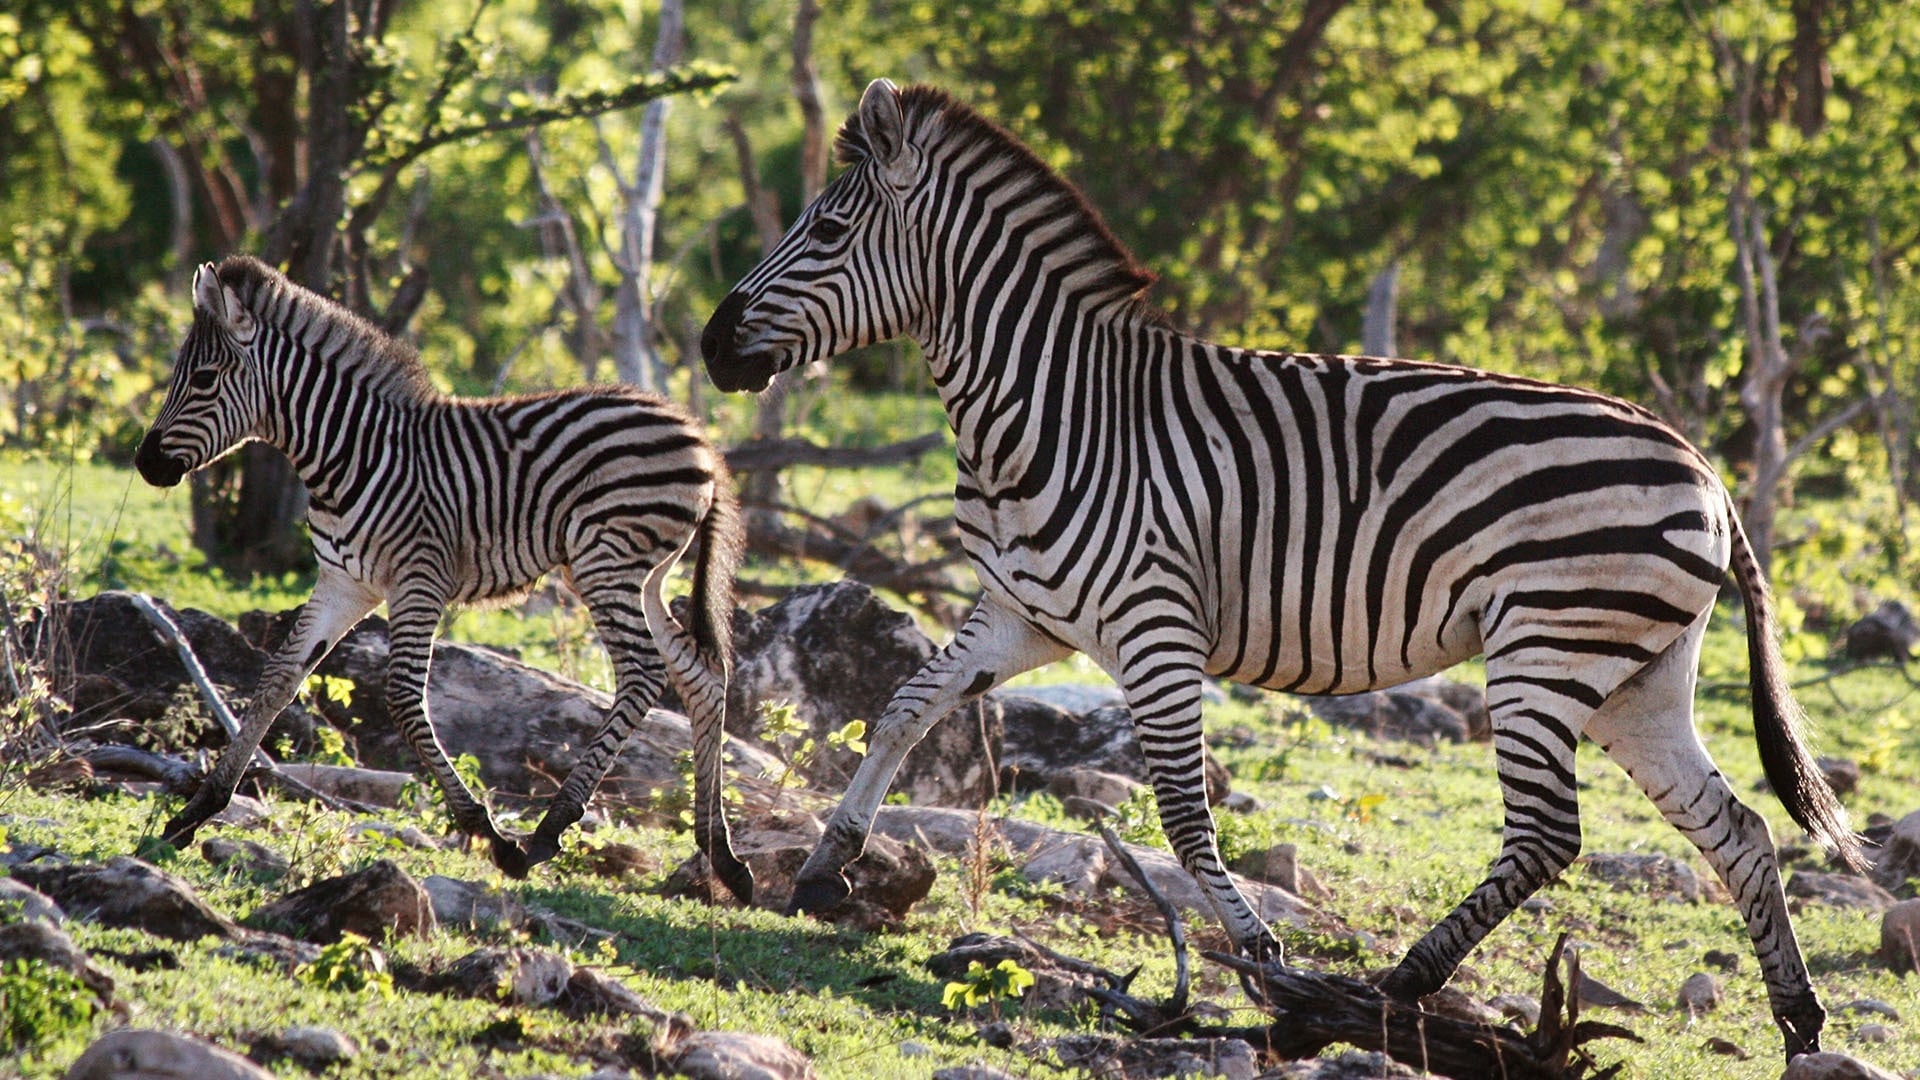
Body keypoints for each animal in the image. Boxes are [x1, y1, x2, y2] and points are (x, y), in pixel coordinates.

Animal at [139, 253, 752, 899]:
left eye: (204, 379)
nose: (144, 463)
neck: (348, 454)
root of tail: (697, 435)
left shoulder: (419, 578)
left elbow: (404, 698)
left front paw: (487, 833)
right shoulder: (343, 582)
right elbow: (278, 679)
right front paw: (195, 811)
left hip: (605, 562)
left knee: (642, 675)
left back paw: (547, 831)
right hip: (644, 577)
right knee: (700, 677)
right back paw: (723, 856)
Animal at [702, 79, 1858, 1053]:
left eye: (827, 230)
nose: (713, 348)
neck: (1051, 410)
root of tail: (1705, 469)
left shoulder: (1154, 625)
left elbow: (1180, 807)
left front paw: (1261, 954)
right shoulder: (1021, 614)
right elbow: (902, 707)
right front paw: (826, 866)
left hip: (1547, 647)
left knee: (1546, 836)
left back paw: (1394, 986)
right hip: (1635, 675)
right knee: (1738, 828)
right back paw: (1799, 1022)